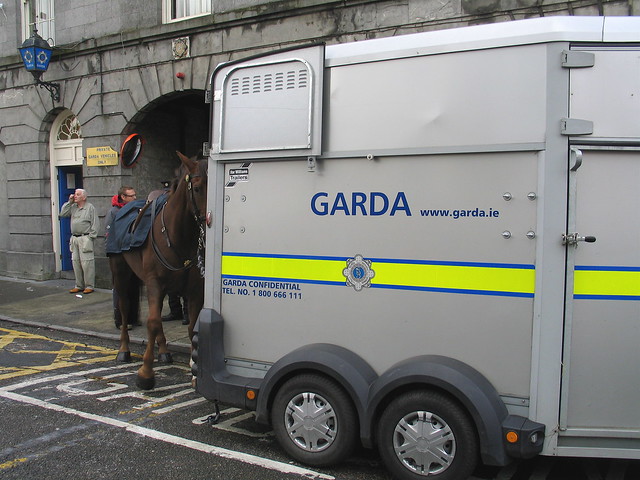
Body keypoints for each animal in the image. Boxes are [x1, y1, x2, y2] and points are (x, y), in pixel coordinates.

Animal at [109, 153, 208, 390]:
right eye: (197, 188)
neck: (178, 234)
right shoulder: (154, 282)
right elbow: (152, 322)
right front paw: (145, 374)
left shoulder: (193, 290)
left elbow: (191, 326)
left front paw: (194, 373)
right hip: (121, 275)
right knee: (124, 308)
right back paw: (124, 349)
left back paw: (163, 351)